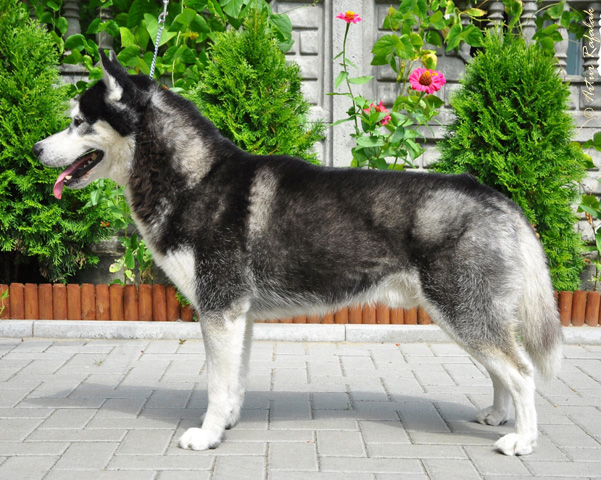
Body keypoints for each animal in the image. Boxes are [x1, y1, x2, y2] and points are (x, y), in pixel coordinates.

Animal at [33, 51, 563, 456]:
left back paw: (523, 440)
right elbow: (235, 382)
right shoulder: (238, 316)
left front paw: (206, 435)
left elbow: (216, 384)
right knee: (503, 369)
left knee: (522, 371)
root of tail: (495, 195)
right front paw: (226, 424)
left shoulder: (219, 309)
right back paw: (498, 415)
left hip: (460, 310)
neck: (196, 178)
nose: (35, 150)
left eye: (77, 122)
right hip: (465, 314)